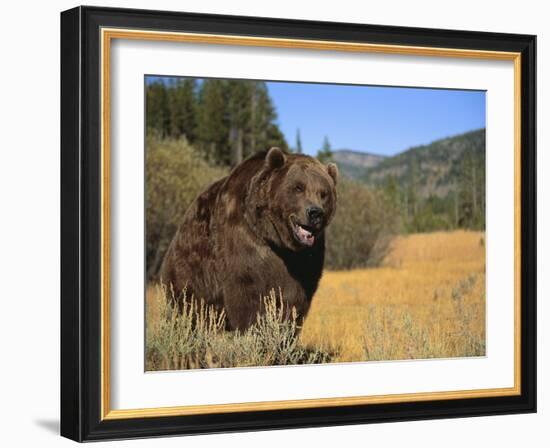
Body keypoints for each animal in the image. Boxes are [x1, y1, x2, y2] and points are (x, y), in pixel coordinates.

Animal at [161, 147, 340, 328]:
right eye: (298, 187)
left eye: (323, 193)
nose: (315, 213)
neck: (276, 239)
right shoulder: (245, 242)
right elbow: (249, 297)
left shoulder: (305, 260)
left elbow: (294, 302)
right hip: (190, 270)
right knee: (188, 308)